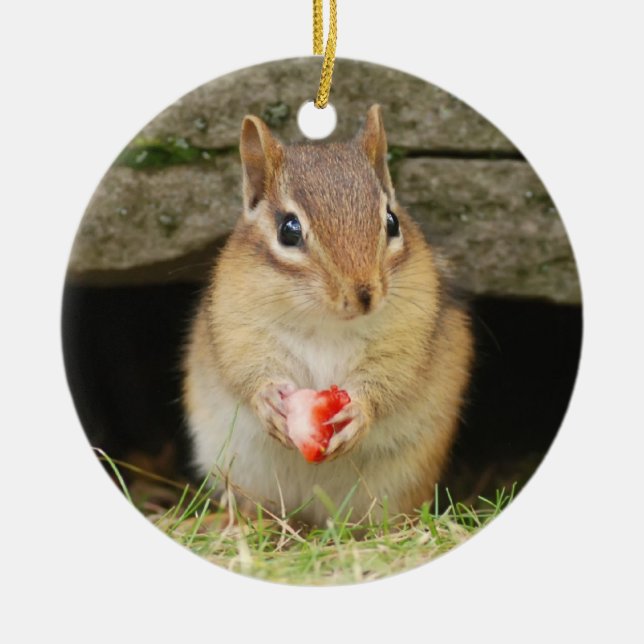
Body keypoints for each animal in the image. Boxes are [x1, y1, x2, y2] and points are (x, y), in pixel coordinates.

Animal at [182, 105, 474, 526]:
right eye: (289, 230)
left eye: (392, 221)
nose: (364, 295)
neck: (326, 326)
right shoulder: (237, 326)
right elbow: (246, 367)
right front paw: (267, 399)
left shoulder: (410, 332)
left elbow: (392, 378)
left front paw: (358, 412)